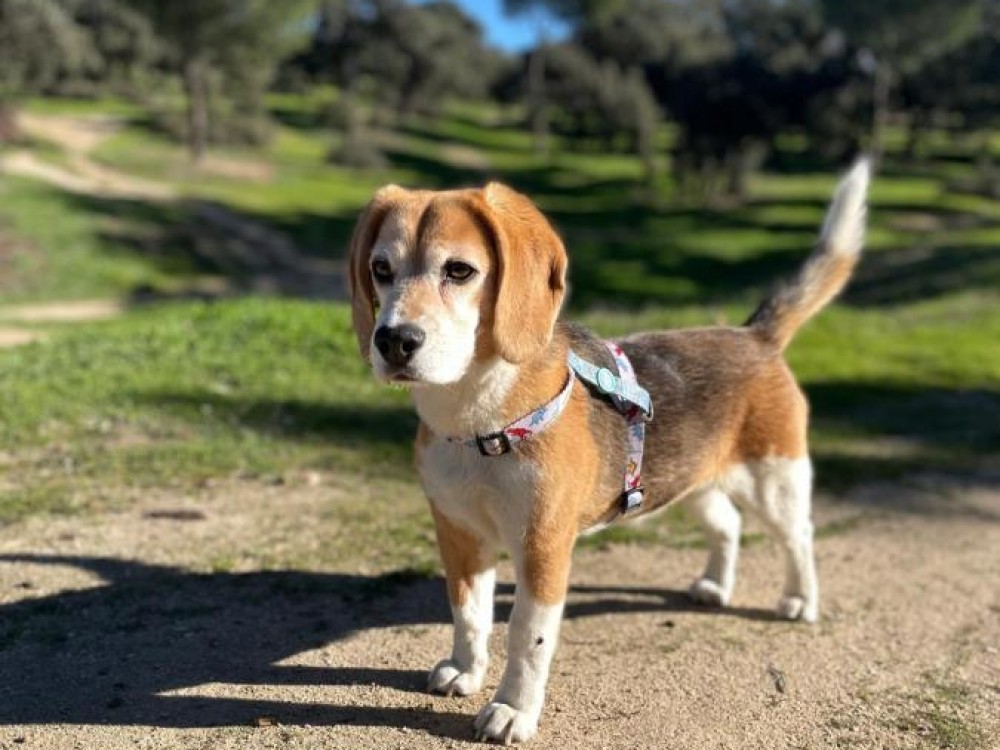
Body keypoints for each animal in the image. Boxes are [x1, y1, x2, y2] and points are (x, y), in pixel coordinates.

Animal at [347, 160, 869, 743]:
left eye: (459, 271)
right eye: (381, 269)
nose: (393, 340)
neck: (476, 418)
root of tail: (754, 335)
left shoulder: (543, 546)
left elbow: (527, 636)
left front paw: (512, 709)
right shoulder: (458, 532)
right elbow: (469, 612)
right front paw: (466, 669)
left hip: (774, 479)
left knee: (798, 536)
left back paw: (800, 600)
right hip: (691, 482)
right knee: (728, 524)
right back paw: (715, 584)